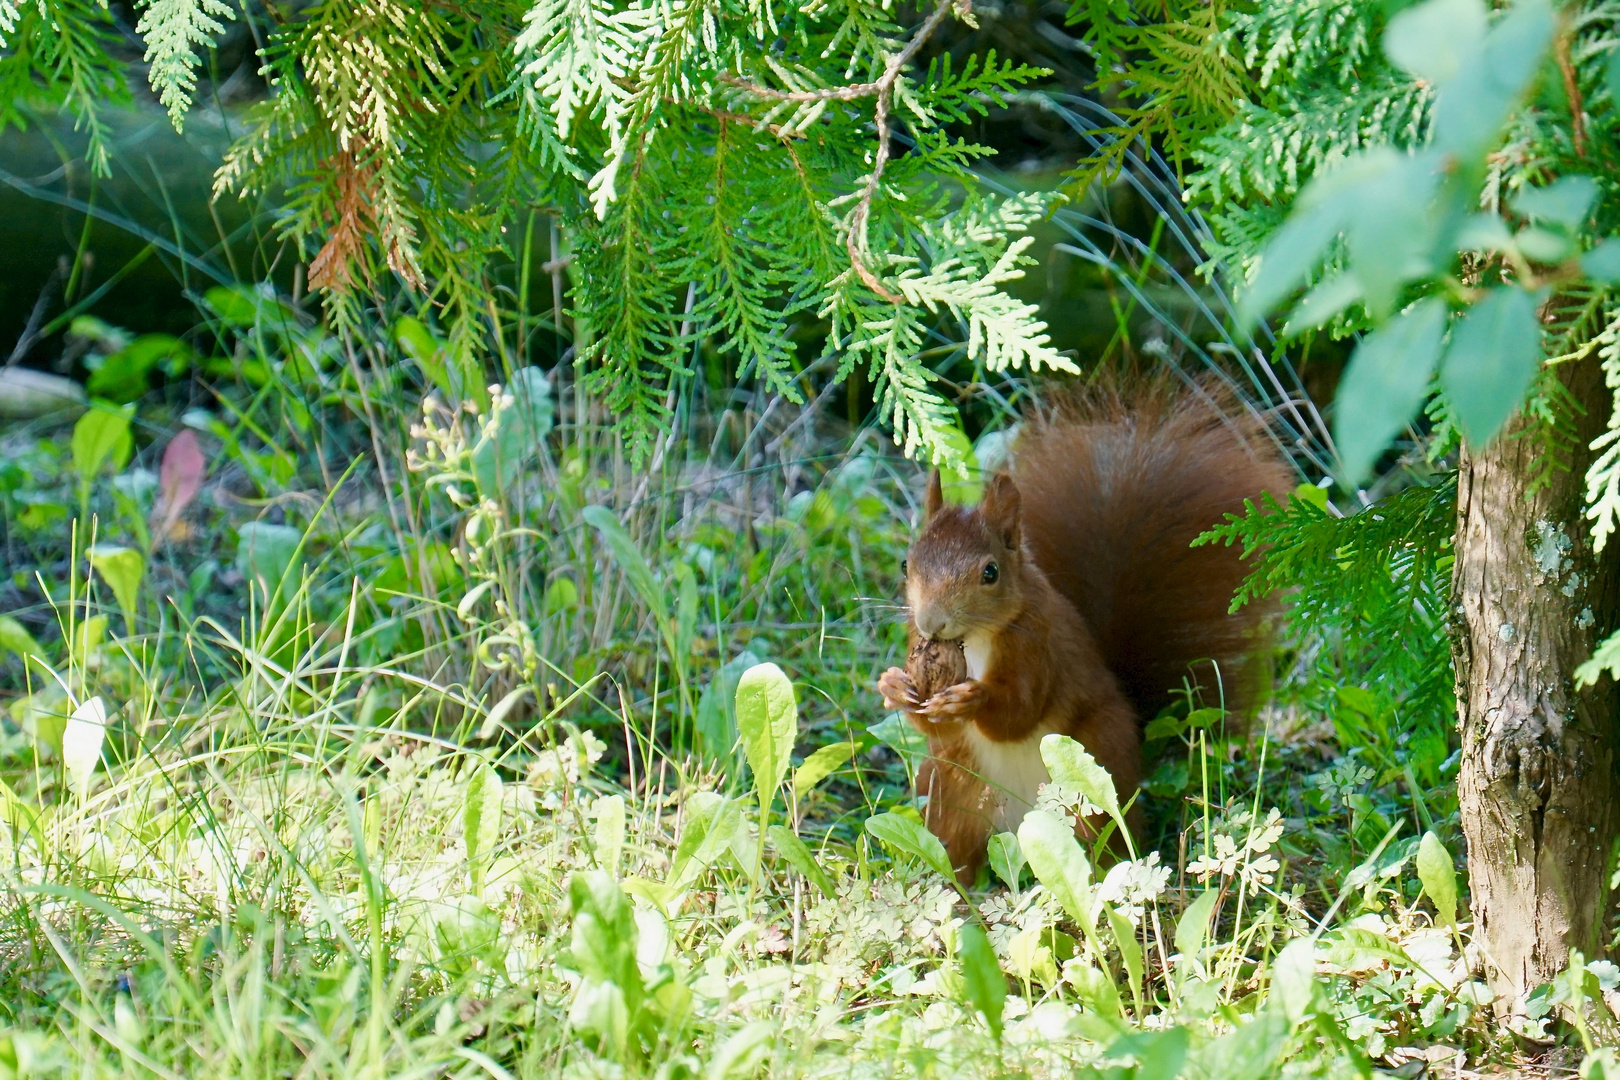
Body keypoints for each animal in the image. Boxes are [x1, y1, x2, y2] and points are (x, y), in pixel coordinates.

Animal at [874, 375, 1289, 880]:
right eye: (905, 563)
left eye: (990, 572)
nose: (931, 622)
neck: (972, 644)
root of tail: (1019, 826)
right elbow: (931, 726)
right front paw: (894, 685)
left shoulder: (1038, 644)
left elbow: (1019, 712)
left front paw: (971, 698)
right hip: (950, 786)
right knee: (954, 848)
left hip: (1096, 768)